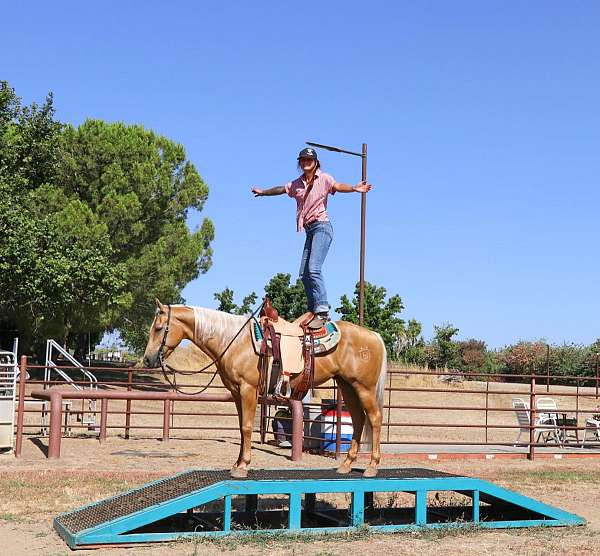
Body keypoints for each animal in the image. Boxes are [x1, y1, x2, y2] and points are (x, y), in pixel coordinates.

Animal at [145, 300, 390, 478]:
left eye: (159, 328)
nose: (147, 359)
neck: (235, 341)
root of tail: (375, 336)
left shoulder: (248, 389)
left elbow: (246, 427)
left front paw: (243, 466)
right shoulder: (236, 392)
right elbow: (241, 426)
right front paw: (237, 463)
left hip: (364, 387)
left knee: (375, 419)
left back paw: (372, 466)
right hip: (348, 386)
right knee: (358, 419)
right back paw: (347, 464)